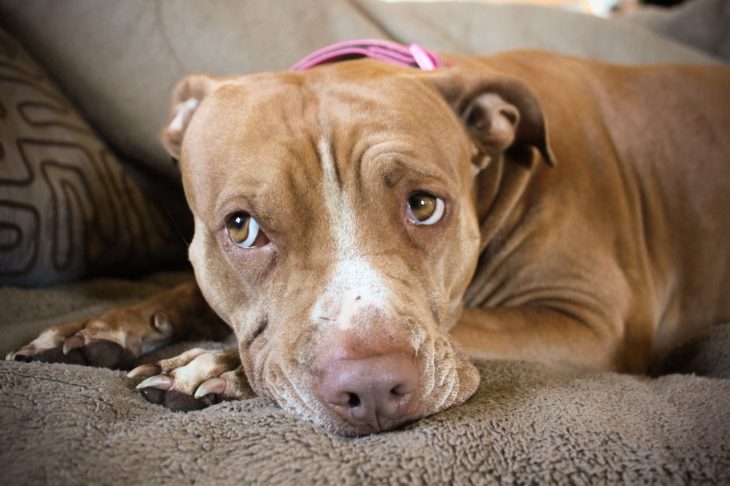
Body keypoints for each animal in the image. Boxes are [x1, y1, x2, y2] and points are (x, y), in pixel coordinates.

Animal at [7, 41, 728, 436]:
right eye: (241, 227)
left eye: (425, 205)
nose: (375, 388)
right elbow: (185, 291)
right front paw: (99, 327)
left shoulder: (590, 320)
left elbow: (469, 322)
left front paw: (217, 365)